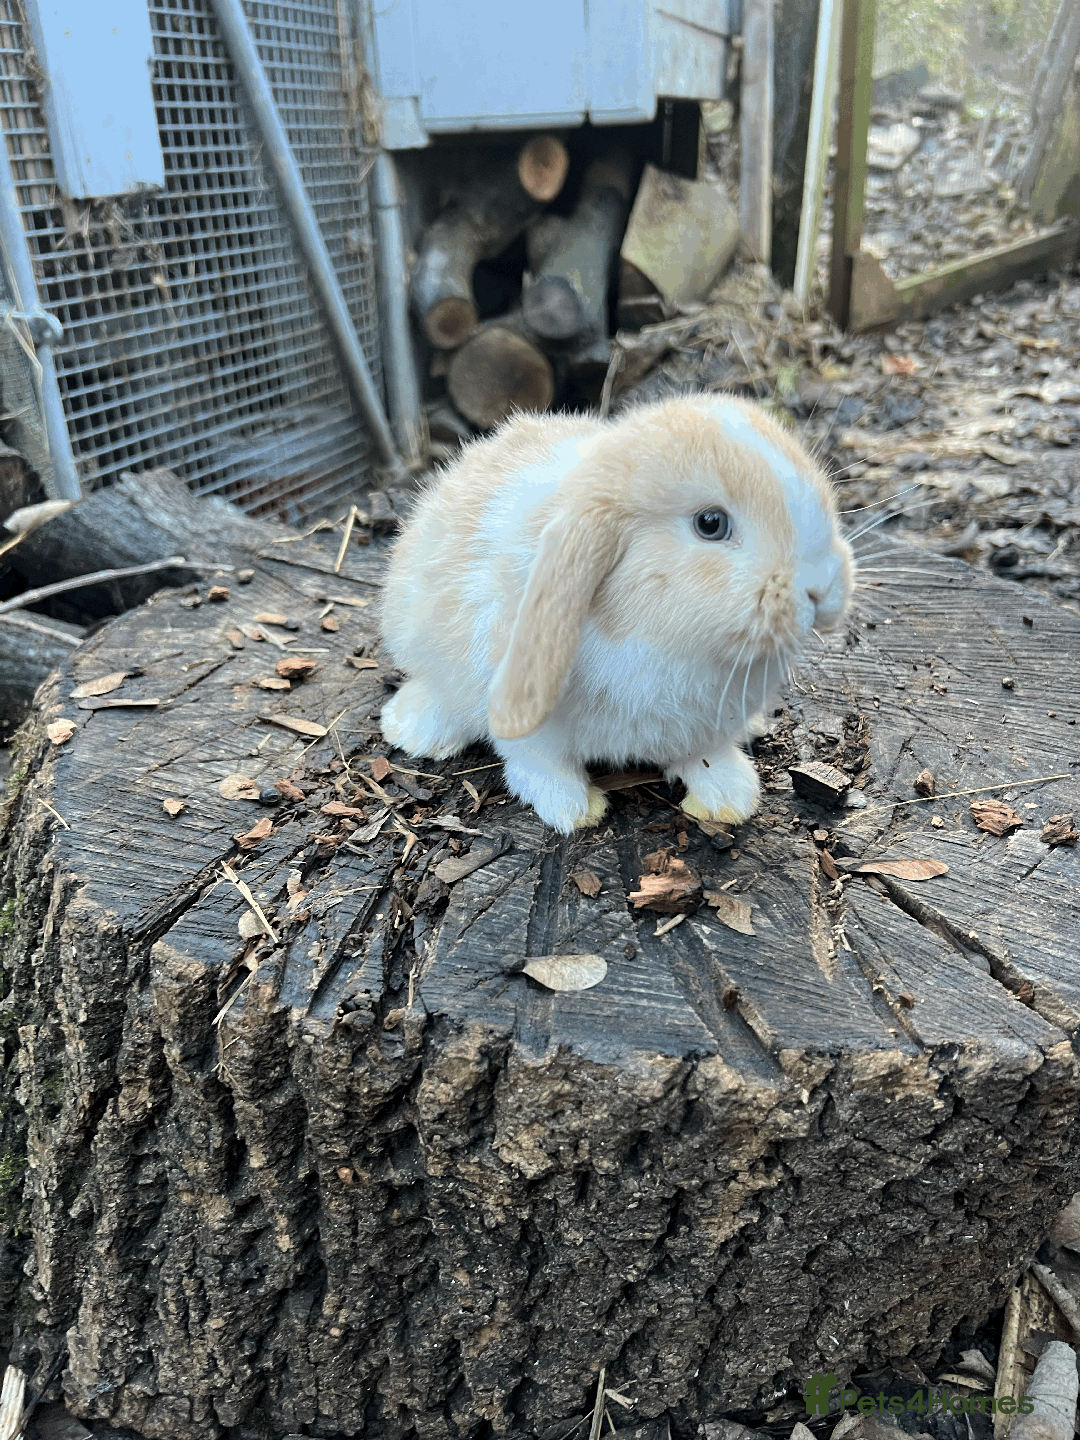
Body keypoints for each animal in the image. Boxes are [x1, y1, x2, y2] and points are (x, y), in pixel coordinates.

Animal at [379, 393, 854, 834]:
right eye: (711, 523)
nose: (823, 586)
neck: (663, 638)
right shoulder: (525, 718)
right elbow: (540, 763)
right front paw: (573, 810)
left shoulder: (700, 726)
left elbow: (703, 755)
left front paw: (729, 795)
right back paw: (413, 730)